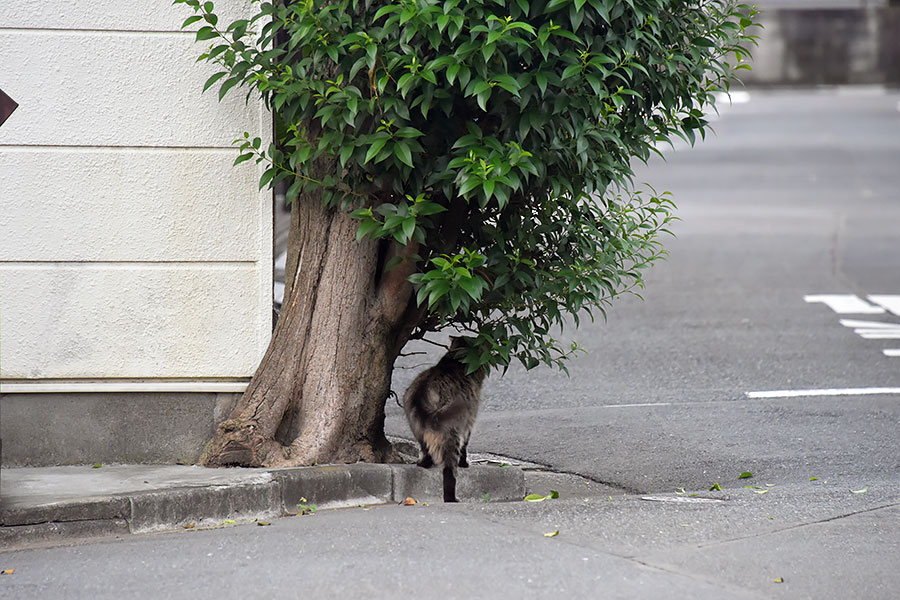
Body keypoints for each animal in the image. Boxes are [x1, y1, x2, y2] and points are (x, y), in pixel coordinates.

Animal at [400, 338, 486, 502]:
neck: (454, 361)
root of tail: (421, 395)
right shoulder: (469, 422)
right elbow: (465, 446)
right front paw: (464, 463)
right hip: (451, 435)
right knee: (449, 470)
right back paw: (451, 498)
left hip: (416, 428)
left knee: (426, 449)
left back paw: (424, 464)